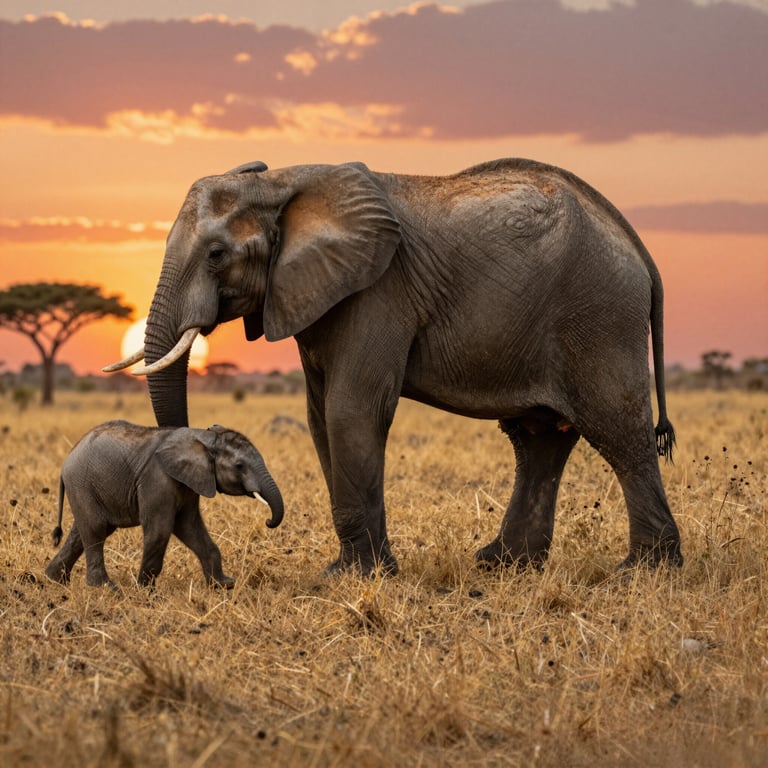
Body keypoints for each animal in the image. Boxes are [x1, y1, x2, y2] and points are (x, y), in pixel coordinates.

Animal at [44, 420, 283, 588]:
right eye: (239, 466)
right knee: (96, 530)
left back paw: (54, 580)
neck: (205, 437)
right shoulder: (158, 479)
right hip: (82, 483)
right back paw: (105, 588)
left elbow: (189, 526)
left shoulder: (189, 482)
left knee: (81, 532)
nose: (268, 521)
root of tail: (66, 461)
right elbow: (160, 530)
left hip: (85, 489)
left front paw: (224, 585)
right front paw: (144, 591)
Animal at [105, 158, 682, 577]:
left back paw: (643, 572)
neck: (284, 183)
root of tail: (638, 247)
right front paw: (350, 571)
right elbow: (320, 419)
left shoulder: (379, 292)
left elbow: (351, 411)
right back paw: (502, 565)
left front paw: (357, 577)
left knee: (618, 431)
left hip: (600, 316)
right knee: (539, 439)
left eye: (217, 255)